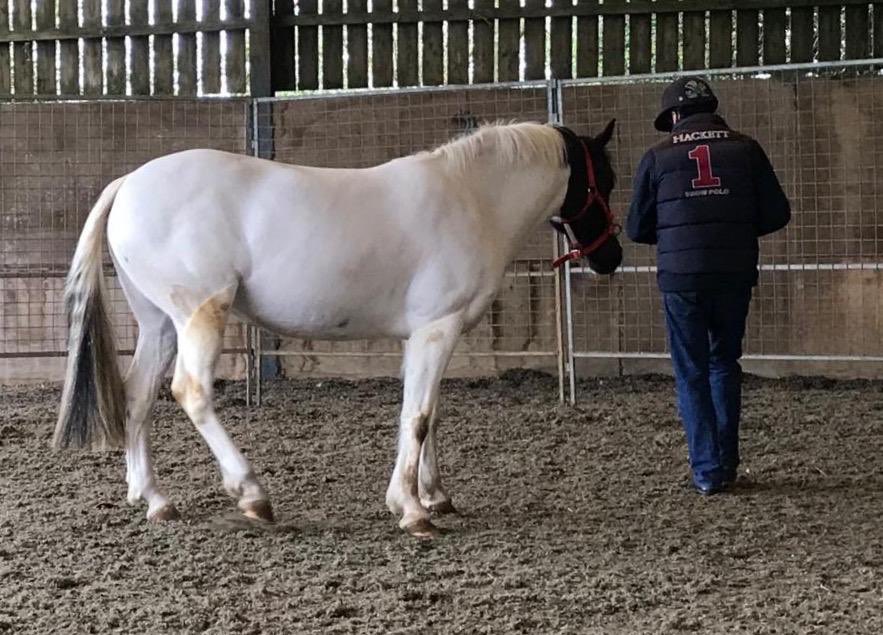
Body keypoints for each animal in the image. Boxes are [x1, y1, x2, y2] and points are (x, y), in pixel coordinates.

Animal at [54, 119, 620, 538]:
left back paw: (154, 499)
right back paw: (252, 495)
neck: (471, 198)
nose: (611, 257)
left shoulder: (423, 337)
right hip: (201, 314)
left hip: (160, 326)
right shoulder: (437, 330)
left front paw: (435, 496)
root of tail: (129, 183)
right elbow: (418, 417)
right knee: (190, 392)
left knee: (137, 396)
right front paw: (411, 510)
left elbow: (429, 413)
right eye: (606, 181)